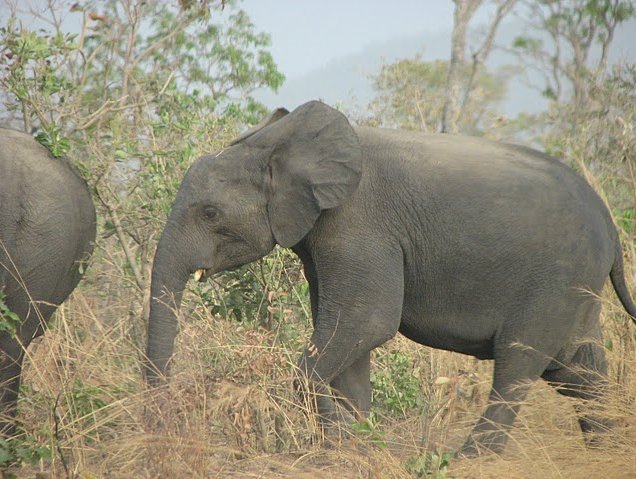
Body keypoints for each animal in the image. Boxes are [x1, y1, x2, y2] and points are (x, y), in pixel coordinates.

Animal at [144, 102, 636, 458]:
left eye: (210, 213)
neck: (280, 143)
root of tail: (609, 222)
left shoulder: (358, 225)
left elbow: (367, 322)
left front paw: (338, 443)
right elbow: (349, 338)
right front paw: (352, 446)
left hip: (555, 280)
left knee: (519, 362)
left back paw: (469, 459)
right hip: (576, 286)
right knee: (577, 369)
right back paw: (603, 451)